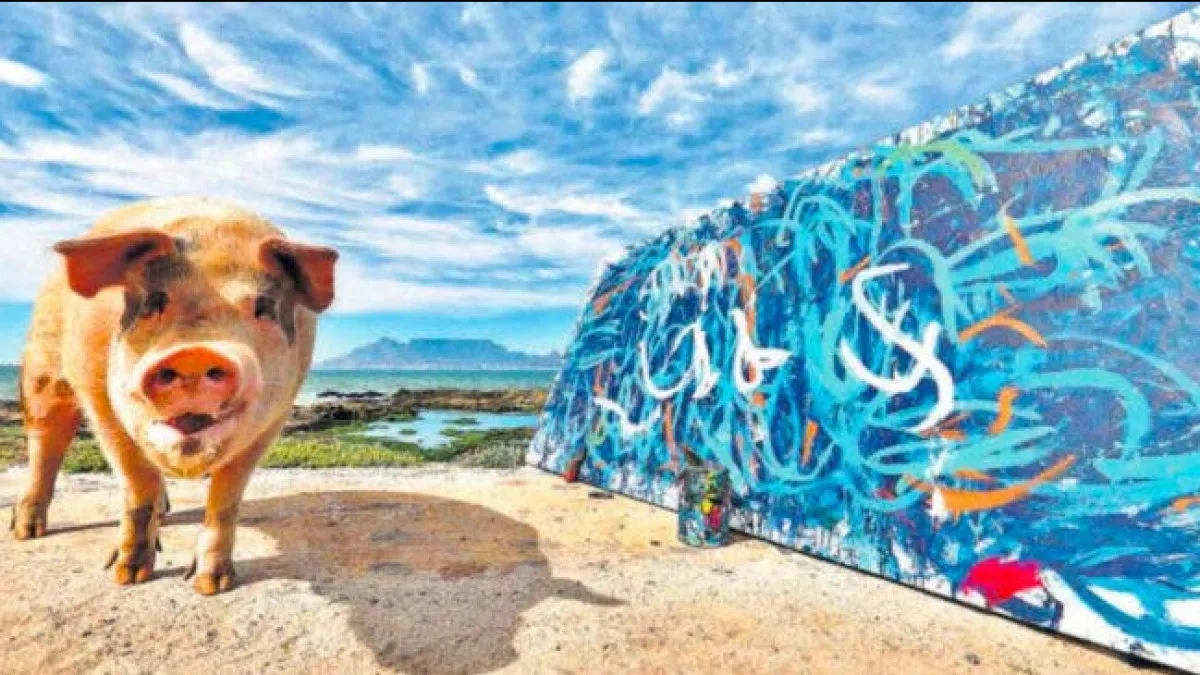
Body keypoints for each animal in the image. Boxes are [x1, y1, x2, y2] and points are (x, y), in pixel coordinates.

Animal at [10, 196, 338, 595]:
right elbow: (137, 484)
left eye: (263, 307)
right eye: (154, 302)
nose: (195, 353)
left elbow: (227, 497)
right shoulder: (98, 396)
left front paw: (211, 585)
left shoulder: (275, 415)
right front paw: (128, 577)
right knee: (45, 442)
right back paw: (26, 533)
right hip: (41, 365)